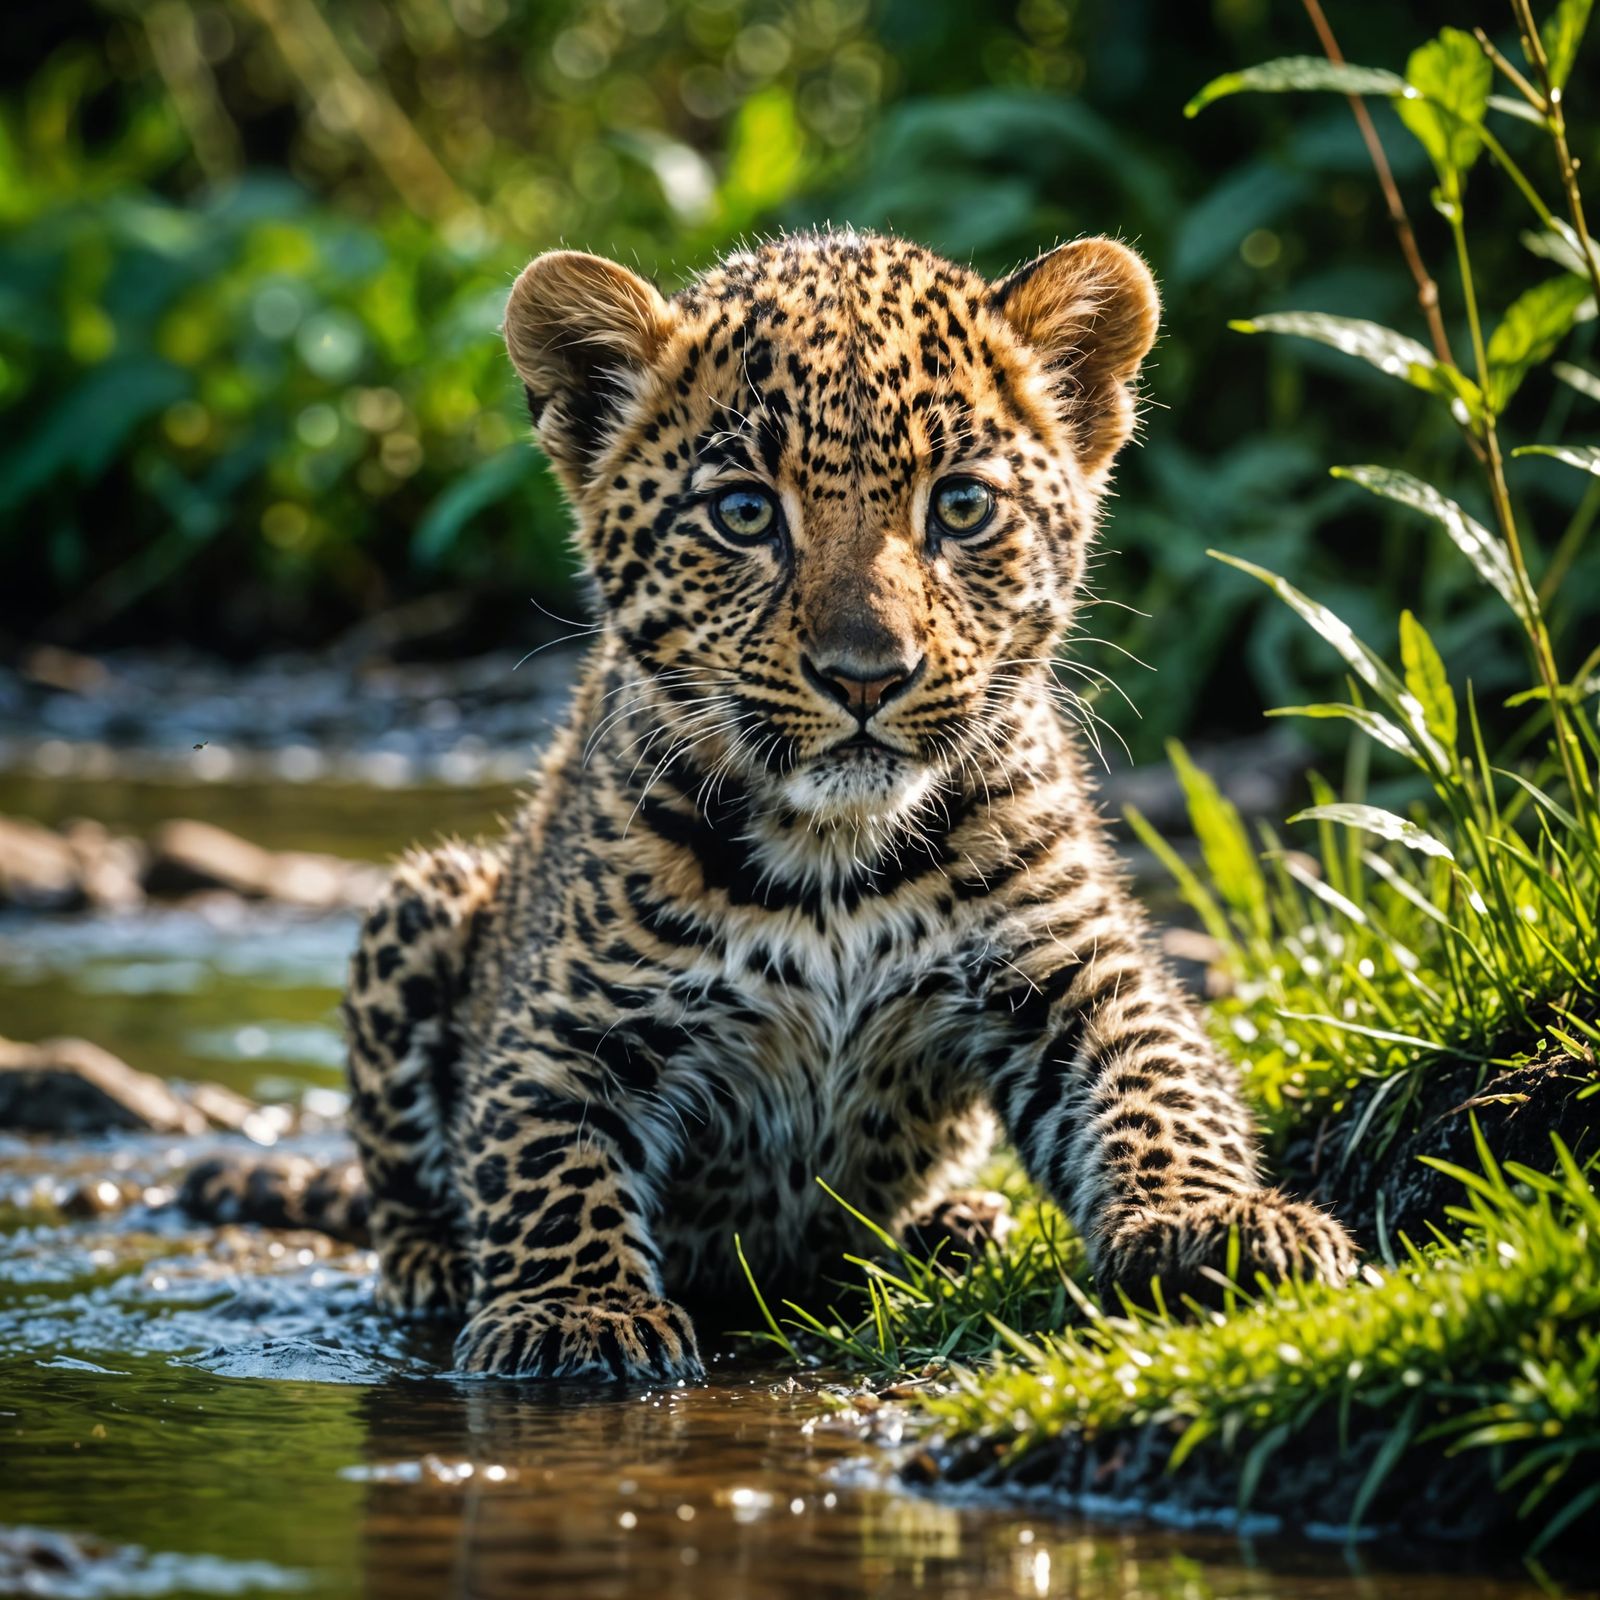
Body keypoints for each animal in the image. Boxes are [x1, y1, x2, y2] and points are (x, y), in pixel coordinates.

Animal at [185, 228, 1355, 1381]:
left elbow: (1162, 1083)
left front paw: (1215, 1220)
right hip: (425, 897)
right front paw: (575, 1313)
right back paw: (432, 1265)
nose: (866, 676)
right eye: (745, 513)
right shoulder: (564, 1027)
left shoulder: (1074, 969)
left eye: (961, 505)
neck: (834, 850)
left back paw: (950, 1228)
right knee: (399, 1180)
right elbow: (543, 1159)